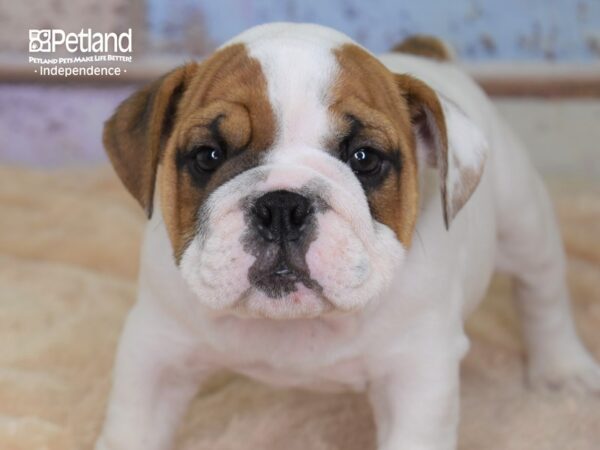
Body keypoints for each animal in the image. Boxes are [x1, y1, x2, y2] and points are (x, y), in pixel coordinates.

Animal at [95, 23, 600, 450]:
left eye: (364, 158)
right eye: (208, 155)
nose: (282, 206)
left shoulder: (417, 375)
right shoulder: (155, 353)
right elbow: (132, 428)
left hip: (525, 223)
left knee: (542, 295)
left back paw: (563, 371)